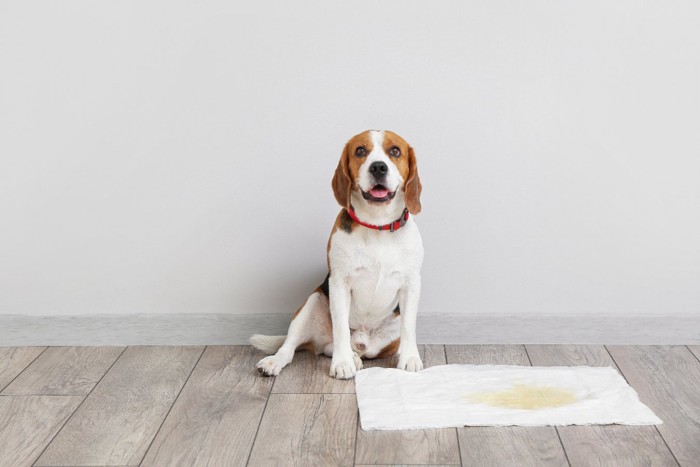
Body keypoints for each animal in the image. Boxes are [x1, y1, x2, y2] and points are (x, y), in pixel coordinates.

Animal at [252, 129, 424, 380]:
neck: (377, 225)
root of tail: (362, 343)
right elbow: (341, 327)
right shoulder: (339, 282)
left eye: (395, 151)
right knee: (293, 346)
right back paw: (278, 361)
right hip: (312, 302)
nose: (378, 167)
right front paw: (342, 363)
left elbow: (410, 326)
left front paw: (410, 359)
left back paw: (356, 356)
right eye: (360, 151)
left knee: (338, 348)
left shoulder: (411, 284)